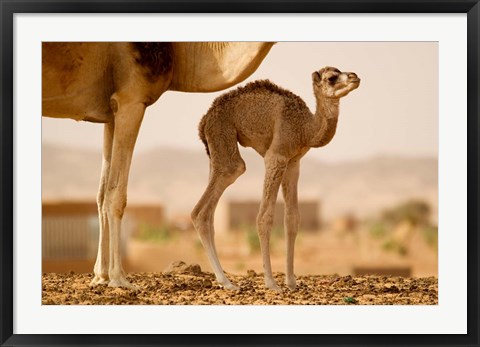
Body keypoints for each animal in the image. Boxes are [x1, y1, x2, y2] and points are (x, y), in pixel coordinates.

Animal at [43, 42, 276, 290]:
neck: (176, 51)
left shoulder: (110, 112)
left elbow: (101, 194)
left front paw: (100, 276)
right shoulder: (131, 99)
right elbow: (116, 194)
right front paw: (119, 278)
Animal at [191, 66, 360, 290]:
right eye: (332, 78)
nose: (354, 77)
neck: (305, 128)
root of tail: (204, 120)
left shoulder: (294, 162)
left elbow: (292, 218)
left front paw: (291, 281)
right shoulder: (276, 156)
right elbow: (265, 217)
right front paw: (271, 282)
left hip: (215, 150)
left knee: (209, 211)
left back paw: (224, 279)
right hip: (223, 138)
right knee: (208, 202)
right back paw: (227, 282)